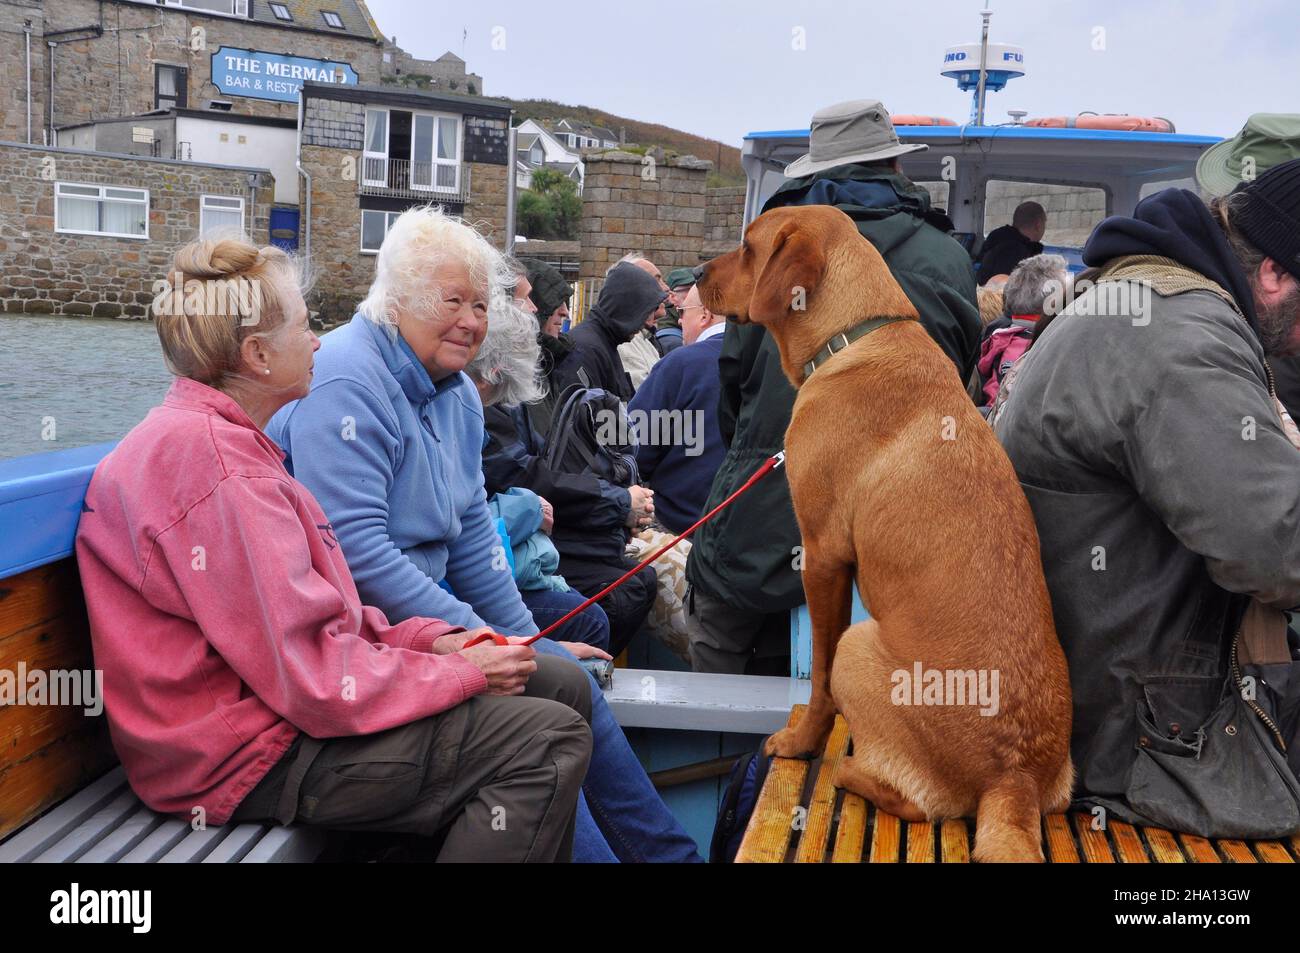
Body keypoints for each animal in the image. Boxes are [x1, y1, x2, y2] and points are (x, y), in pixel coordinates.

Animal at [696, 208, 1071, 863]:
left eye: (746, 248)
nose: (692, 275)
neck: (856, 334)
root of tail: (1015, 779)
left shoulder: (821, 555)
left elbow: (819, 682)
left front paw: (801, 741)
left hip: (859, 643)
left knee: (919, 803)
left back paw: (849, 772)